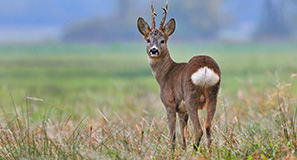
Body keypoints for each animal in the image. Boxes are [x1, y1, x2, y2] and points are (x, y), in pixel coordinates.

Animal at [136, 0, 220, 151]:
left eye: (162, 40)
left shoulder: (169, 103)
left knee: (199, 130)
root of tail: (205, 68)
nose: (153, 50)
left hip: (190, 95)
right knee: (208, 128)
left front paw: (172, 152)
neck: (164, 74)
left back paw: (195, 152)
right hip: (213, 94)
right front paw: (183, 151)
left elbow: (173, 135)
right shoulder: (182, 110)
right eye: (148, 40)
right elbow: (183, 136)